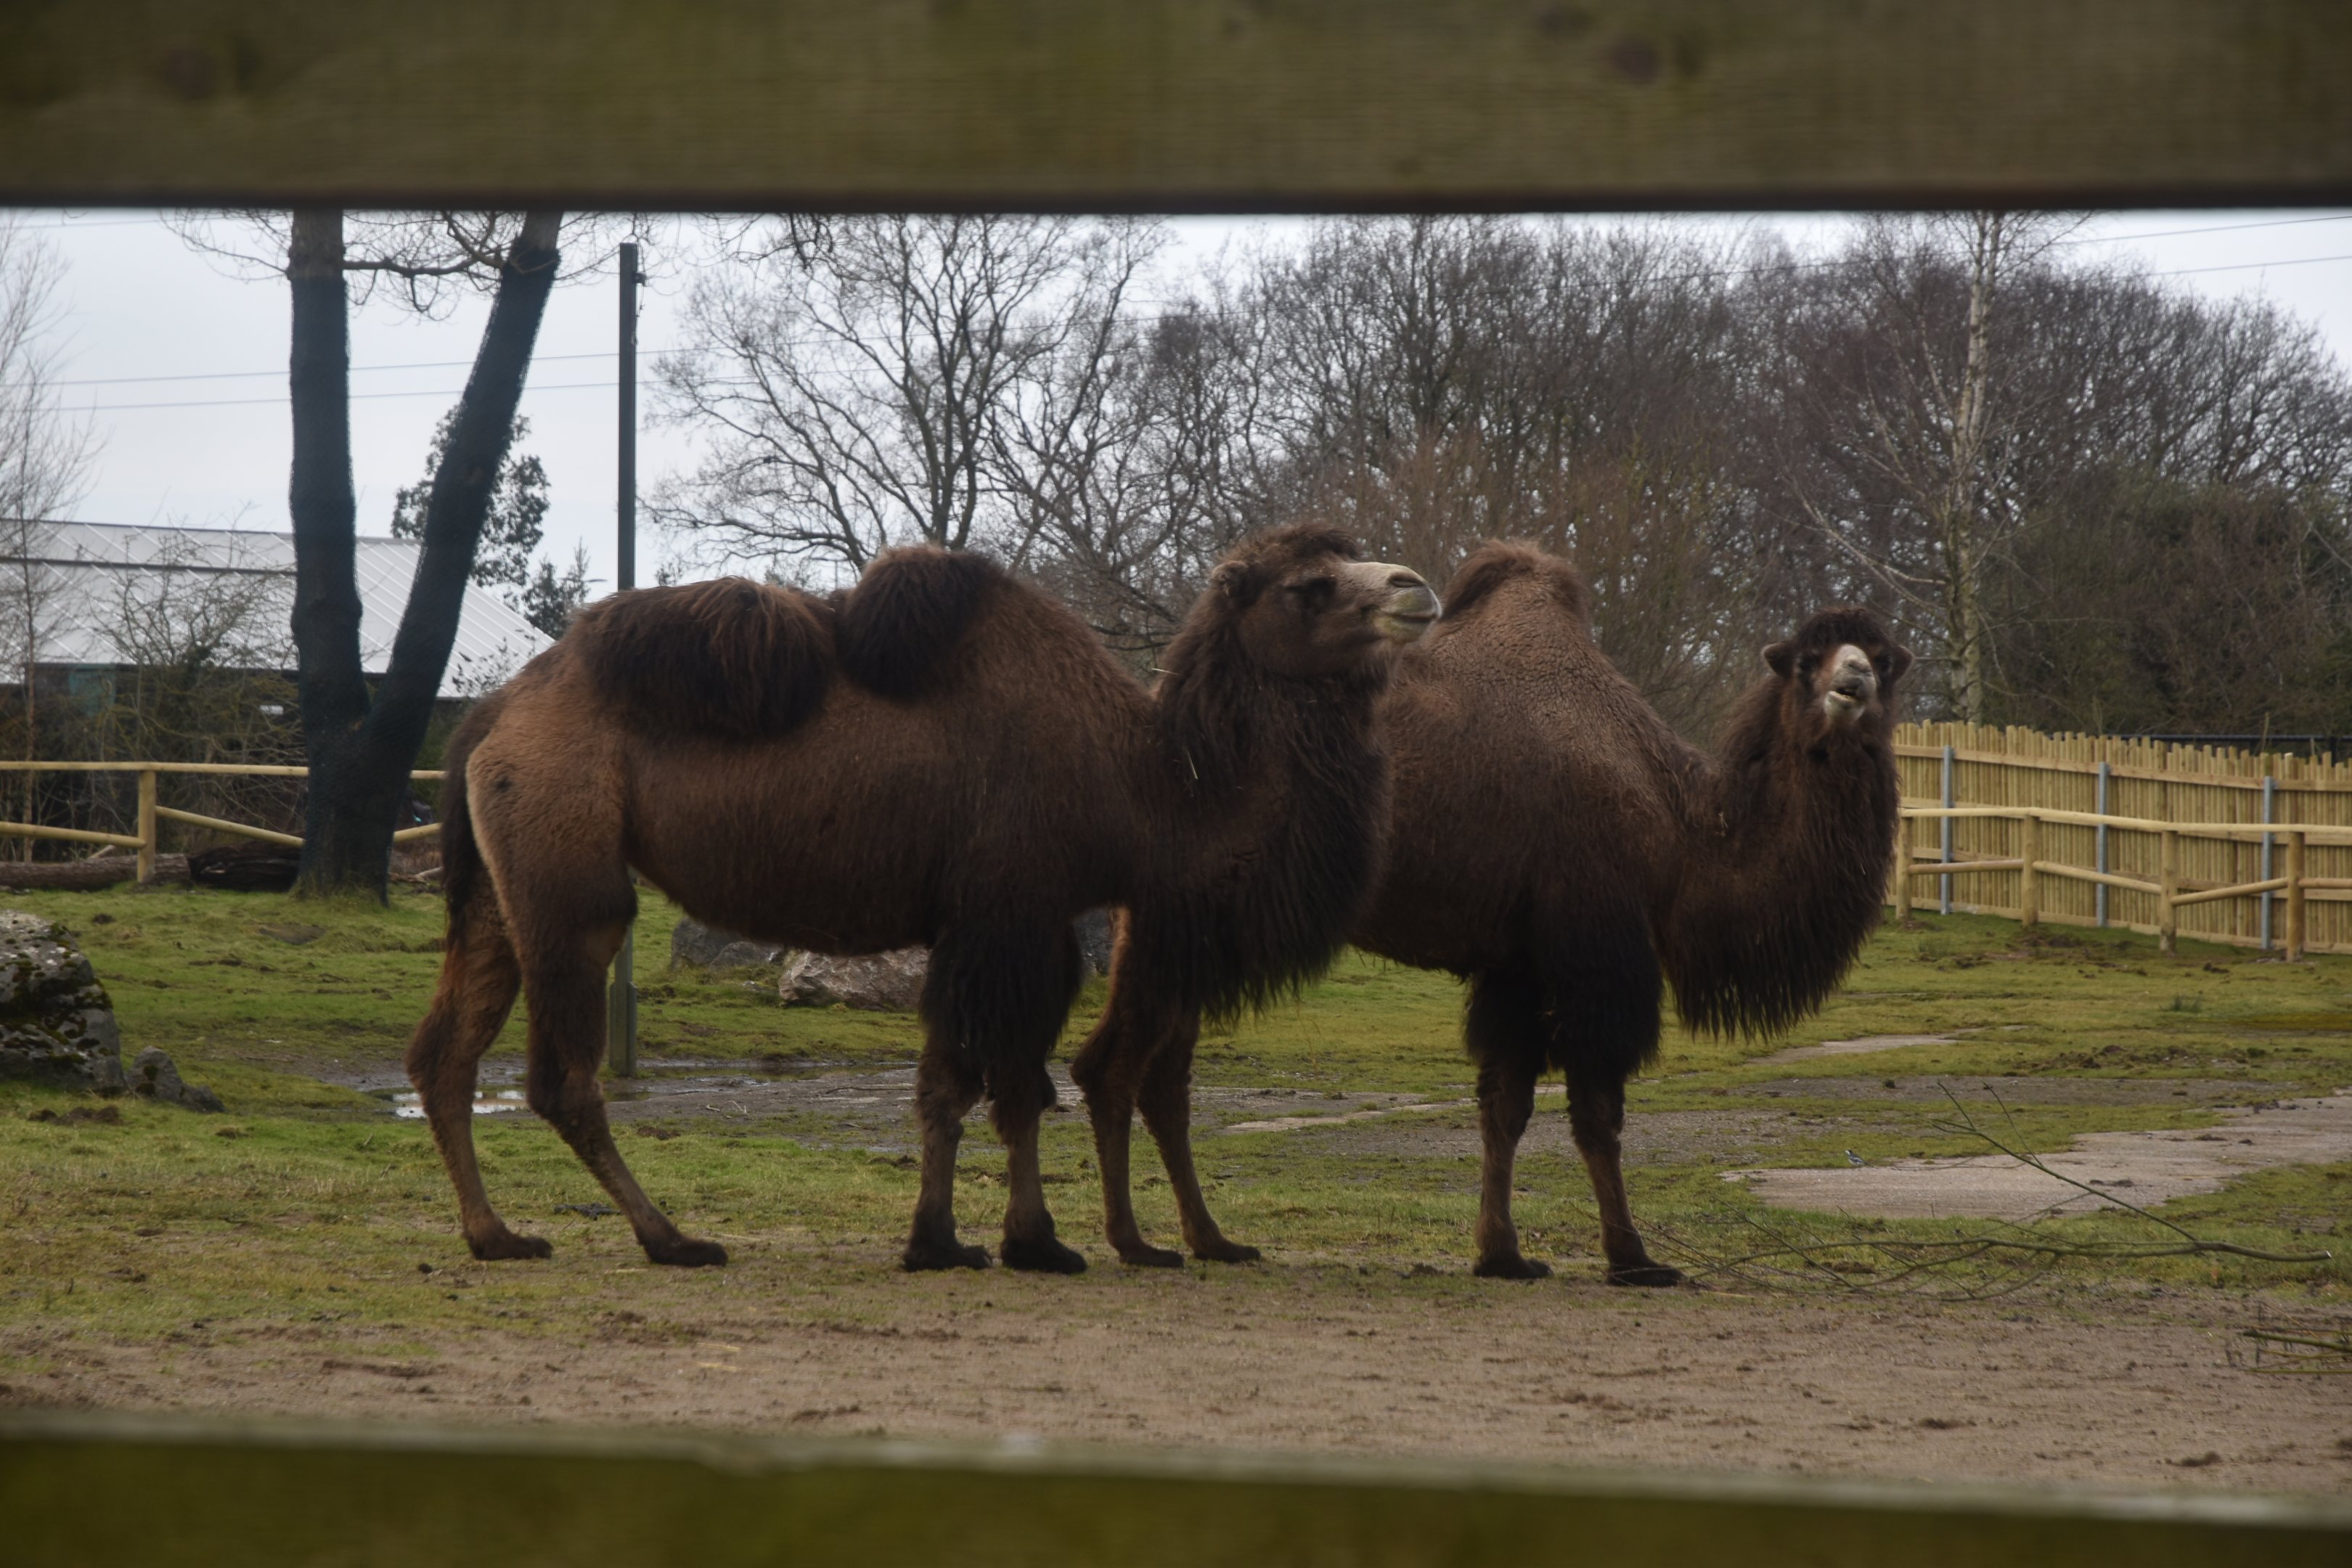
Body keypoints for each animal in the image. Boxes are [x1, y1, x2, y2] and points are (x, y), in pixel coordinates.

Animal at [403, 525, 1436, 1274]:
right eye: (1309, 587)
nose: (1416, 590)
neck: (1143, 782)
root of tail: (494, 718)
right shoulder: (1010, 914)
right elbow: (1008, 1087)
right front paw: (1029, 1244)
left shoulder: (995, 926)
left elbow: (963, 1081)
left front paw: (950, 1240)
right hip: (570, 874)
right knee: (561, 1075)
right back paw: (673, 1239)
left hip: (500, 885)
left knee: (444, 1054)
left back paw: (497, 1236)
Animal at [1076, 543, 1908, 1281]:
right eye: (1807, 661)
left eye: (1883, 656)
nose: (1853, 683)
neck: (1680, 832)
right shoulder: (1595, 948)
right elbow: (1597, 1113)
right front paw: (1634, 1258)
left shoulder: (1520, 961)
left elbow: (1503, 1108)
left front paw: (1502, 1254)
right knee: (1115, 1062)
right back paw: (1135, 1244)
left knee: (1165, 1078)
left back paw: (1212, 1240)